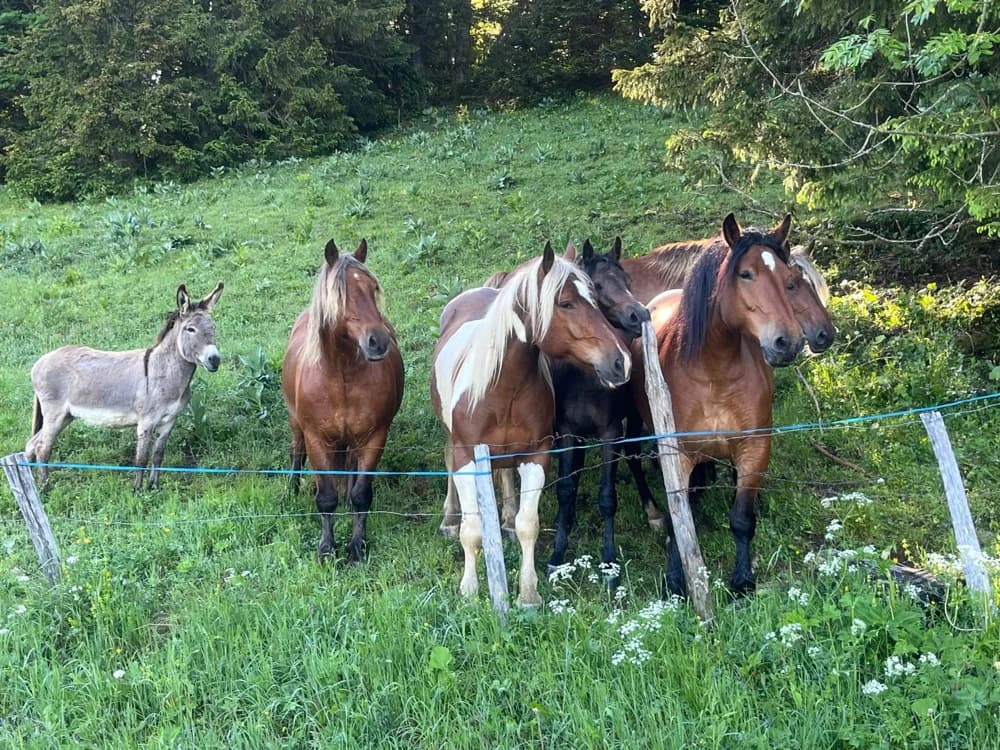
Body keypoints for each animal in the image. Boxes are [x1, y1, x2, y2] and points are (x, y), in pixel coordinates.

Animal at [25, 282, 223, 492]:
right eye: (190, 329)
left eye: (213, 327)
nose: (215, 360)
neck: (164, 371)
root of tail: (41, 361)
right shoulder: (146, 422)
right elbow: (141, 459)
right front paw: (137, 491)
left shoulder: (169, 422)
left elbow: (158, 456)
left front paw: (154, 487)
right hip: (54, 413)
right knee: (42, 447)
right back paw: (45, 489)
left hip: (65, 416)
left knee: (31, 444)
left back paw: (29, 484)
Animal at [281, 239, 404, 563]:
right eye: (341, 294)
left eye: (373, 288)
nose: (378, 342)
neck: (342, 377)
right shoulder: (316, 440)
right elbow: (326, 497)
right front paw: (326, 549)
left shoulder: (375, 437)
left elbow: (361, 495)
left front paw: (357, 547)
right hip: (296, 425)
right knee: (296, 451)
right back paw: (291, 489)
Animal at [430, 242, 631, 606]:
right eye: (566, 303)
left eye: (595, 298)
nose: (620, 362)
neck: (501, 387)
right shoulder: (468, 456)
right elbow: (472, 529)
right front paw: (469, 590)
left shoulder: (536, 456)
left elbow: (529, 525)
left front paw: (528, 594)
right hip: (453, 440)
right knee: (449, 464)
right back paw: (449, 518)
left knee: (506, 476)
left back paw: (506, 521)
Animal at [628, 213, 804, 596]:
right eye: (746, 274)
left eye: (790, 281)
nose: (788, 342)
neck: (714, 374)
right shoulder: (676, 454)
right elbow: (680, 517)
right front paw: (675, 581)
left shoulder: (755, 447)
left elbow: (741, 518)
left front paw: (742, 580)